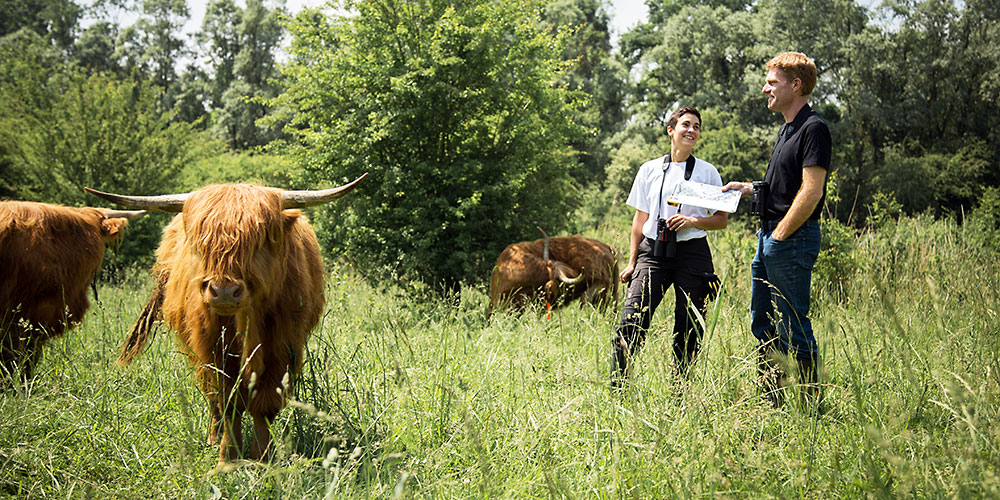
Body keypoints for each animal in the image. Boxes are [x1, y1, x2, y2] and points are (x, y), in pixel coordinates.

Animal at [88, 175, 366, 464]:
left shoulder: (284, 345)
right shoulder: (212, 348)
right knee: (212, 399)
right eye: (202, 243)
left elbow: (265, 404)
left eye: (260, 239)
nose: (223, 291)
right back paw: (213, 437)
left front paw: (263, 456)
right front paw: (227, 456)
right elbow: (228, 401)